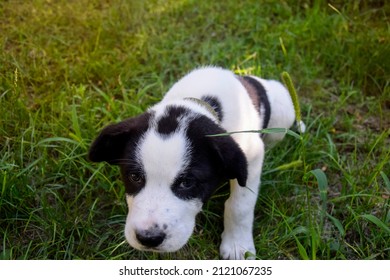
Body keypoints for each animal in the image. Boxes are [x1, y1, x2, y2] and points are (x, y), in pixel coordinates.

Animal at [88, 66, 302, 260]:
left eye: (187, 182)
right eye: (134, 176)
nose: (148, 238)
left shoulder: (251, 157)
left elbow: (240, 205)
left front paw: (237, 245)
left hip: (283, 112)